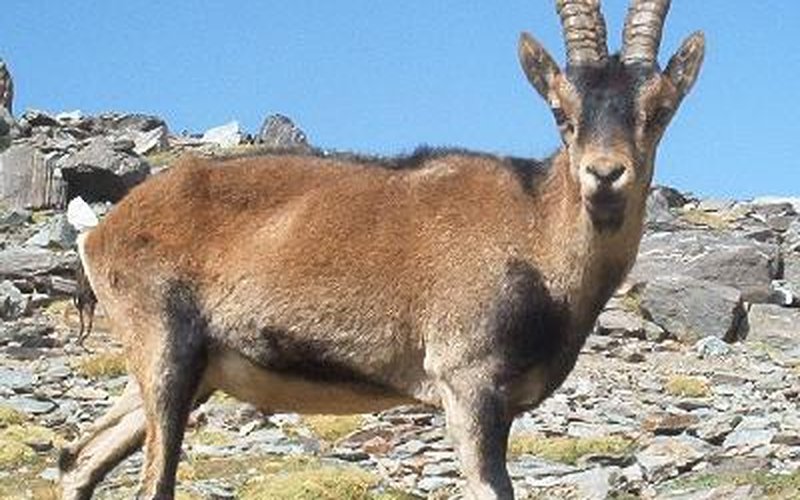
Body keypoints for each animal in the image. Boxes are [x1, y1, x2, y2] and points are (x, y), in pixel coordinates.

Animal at [59, 1, 705, 498]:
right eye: (561, 112)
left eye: (659, 111)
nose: (605, 175)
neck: (535, 233)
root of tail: (102, 231)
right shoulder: (467, 385)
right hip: (163, 345)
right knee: (152, 481)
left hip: (185, 371)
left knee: (78, 458)